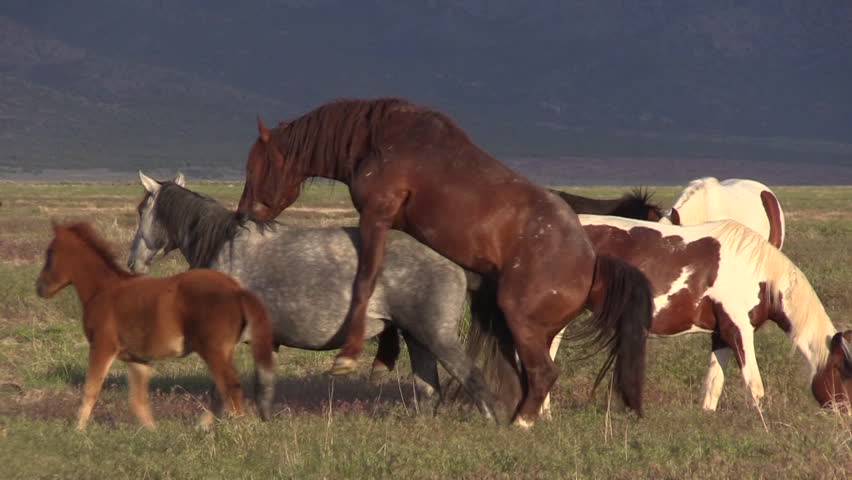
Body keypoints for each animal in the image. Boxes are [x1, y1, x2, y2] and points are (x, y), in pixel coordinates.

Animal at [35, 222, 276, 432]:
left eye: (50, 254)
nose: (40, 288)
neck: (102, 291)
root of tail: (236, 289)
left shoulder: (102, 346)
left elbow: (91, 389)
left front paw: (78, 429)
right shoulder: (138, 359)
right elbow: (138, 400)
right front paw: (152, 432)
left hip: (213, 351)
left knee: (231, 387)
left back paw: (238, 429)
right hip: (222, 352)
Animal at [126, 172, 500, 420]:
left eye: (141, 210)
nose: (132, 263)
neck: (225, 247)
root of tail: (453, 261)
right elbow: (263, 385)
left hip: (437, 335)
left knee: (474, 380)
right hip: (417, 338)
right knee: (427, 390)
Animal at [236, 95, 648, 426]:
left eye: (253, 166)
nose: (244, 215)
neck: (378, 140)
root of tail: (591, 264)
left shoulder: (377, 214)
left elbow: (366, 280)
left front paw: (350, 356)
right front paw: (384, 358)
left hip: (520, 319)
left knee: (543, 373)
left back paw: (519, 424)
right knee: (525, 376)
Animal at [544, 216, 848, 414]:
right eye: (840, 369)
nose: (845, 412)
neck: (756, 273)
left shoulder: (721, 335)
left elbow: (714, 385)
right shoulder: (739, 330)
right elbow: (754, 385)